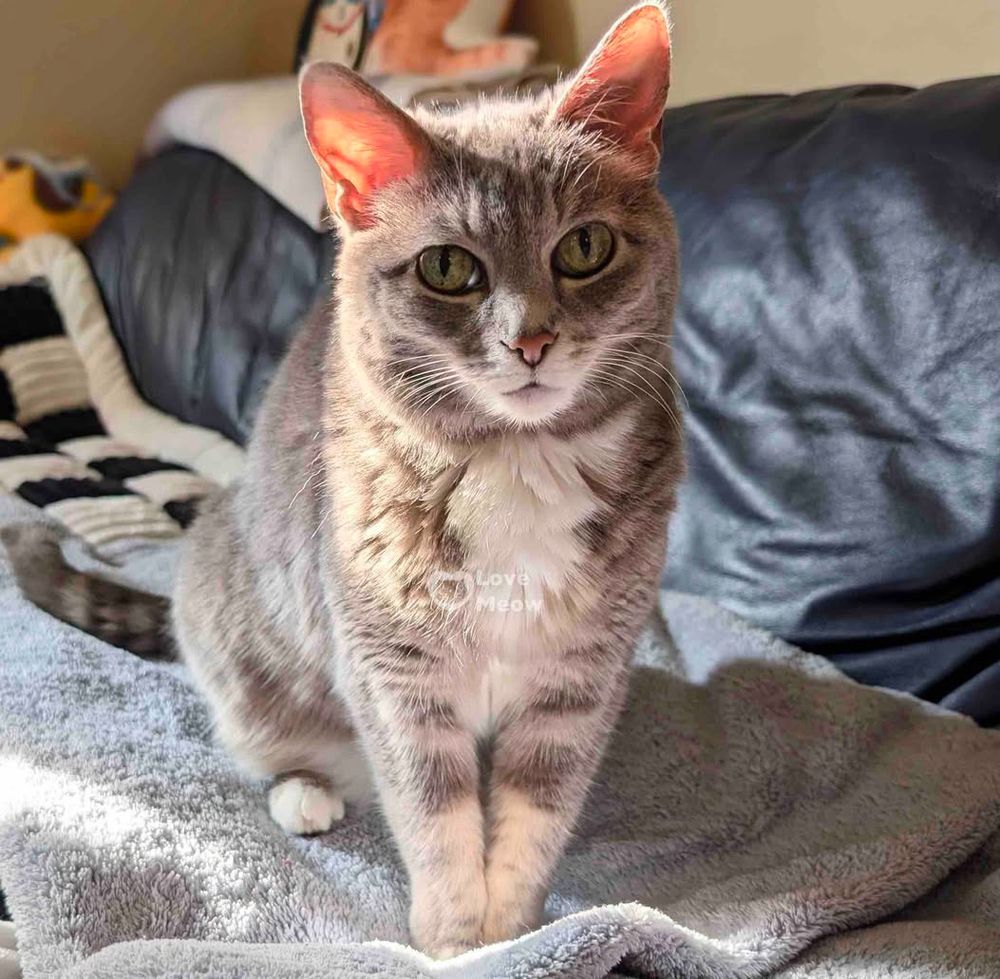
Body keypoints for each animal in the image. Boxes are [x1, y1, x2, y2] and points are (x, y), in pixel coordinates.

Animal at [3, 2, 681, 958]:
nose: (532, 341)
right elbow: (434, 814)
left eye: (585, 246)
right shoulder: (392, 672)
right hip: (249, 648)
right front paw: (455, 940)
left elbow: (535, 811)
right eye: (448, 267)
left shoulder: (579, 677)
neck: (517, 462)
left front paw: (510, 929)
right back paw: (305, 792)